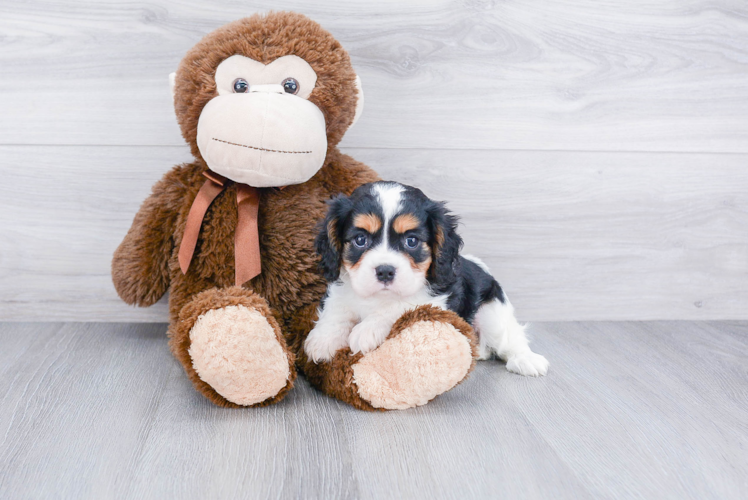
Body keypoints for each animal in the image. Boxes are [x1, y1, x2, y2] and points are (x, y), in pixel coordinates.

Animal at [304, 182, 548, 376]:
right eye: (360, 239)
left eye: (411, 241)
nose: (385, 271)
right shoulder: (341, 289)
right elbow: (337, 309)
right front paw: (324, 338)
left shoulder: (435, 297)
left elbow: (400, 305)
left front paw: (367, 330)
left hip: (492, 313)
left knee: (510, 338)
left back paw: (526, 360)